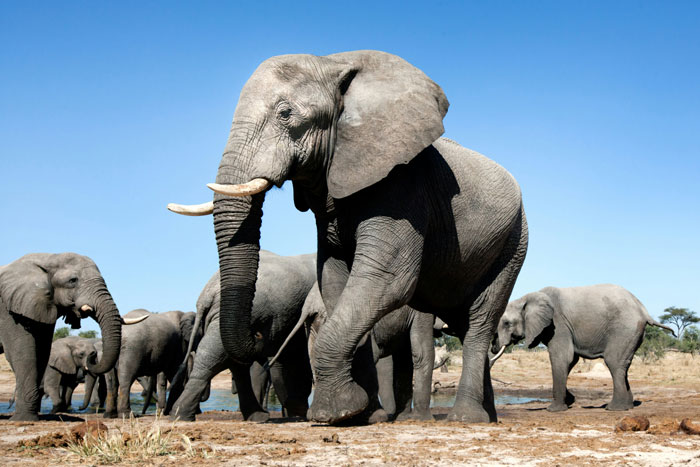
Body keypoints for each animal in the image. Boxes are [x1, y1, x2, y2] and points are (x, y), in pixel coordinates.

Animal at [0, 253, 130, 420]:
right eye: (72, 281)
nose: (93, 356)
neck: (46, 258)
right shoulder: (9, 310)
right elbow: (23, 353)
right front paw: (23, 419)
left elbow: (42, 352)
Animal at [491, 284, 675, 412]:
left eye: (506, 323)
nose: (494, 346)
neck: (526, 298)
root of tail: (644, 311)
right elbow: (571, 360)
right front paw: (570, 400)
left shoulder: (557, 324)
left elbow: (562, 358)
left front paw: (554, 410)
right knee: (623, 365)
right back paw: (628, 406)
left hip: (624, 328)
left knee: (614, 362)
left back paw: (614, 408)